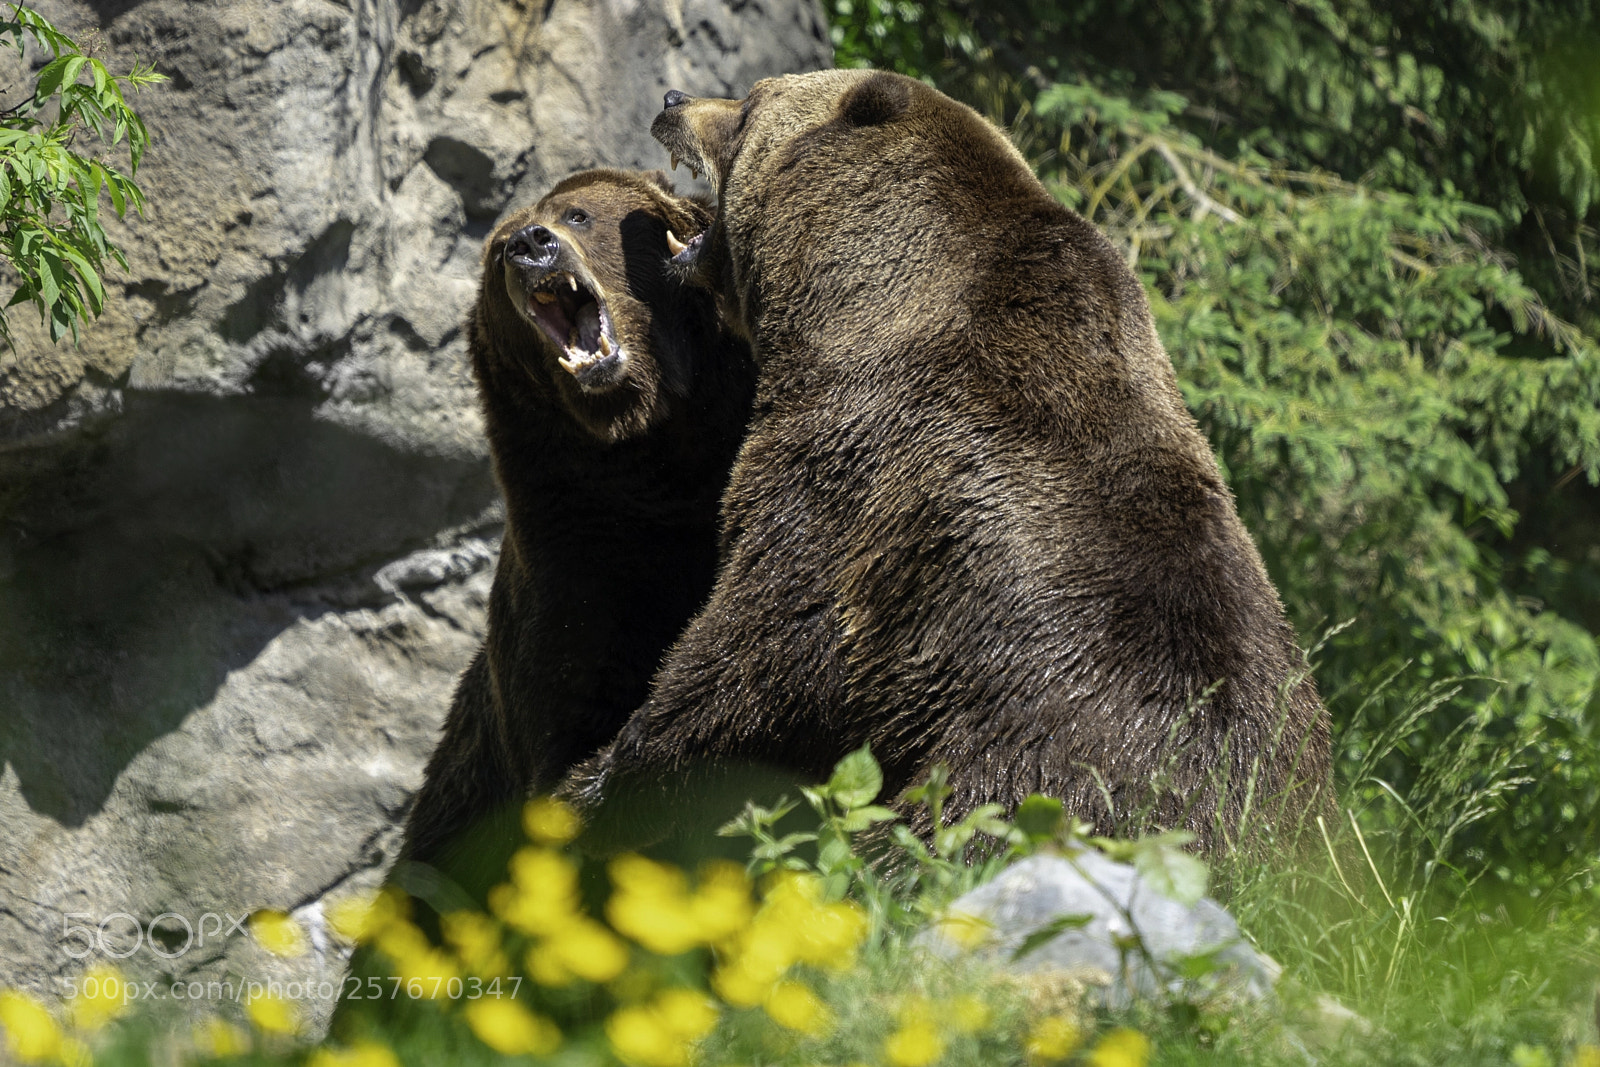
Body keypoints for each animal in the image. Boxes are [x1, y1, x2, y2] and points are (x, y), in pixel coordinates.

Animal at [566, 71, 1332, 854]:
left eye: (750, 102)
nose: (673, 100)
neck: (845, 298)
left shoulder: (855, 472)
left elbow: (760, 641)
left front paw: (604, 773)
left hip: (1025, 769)